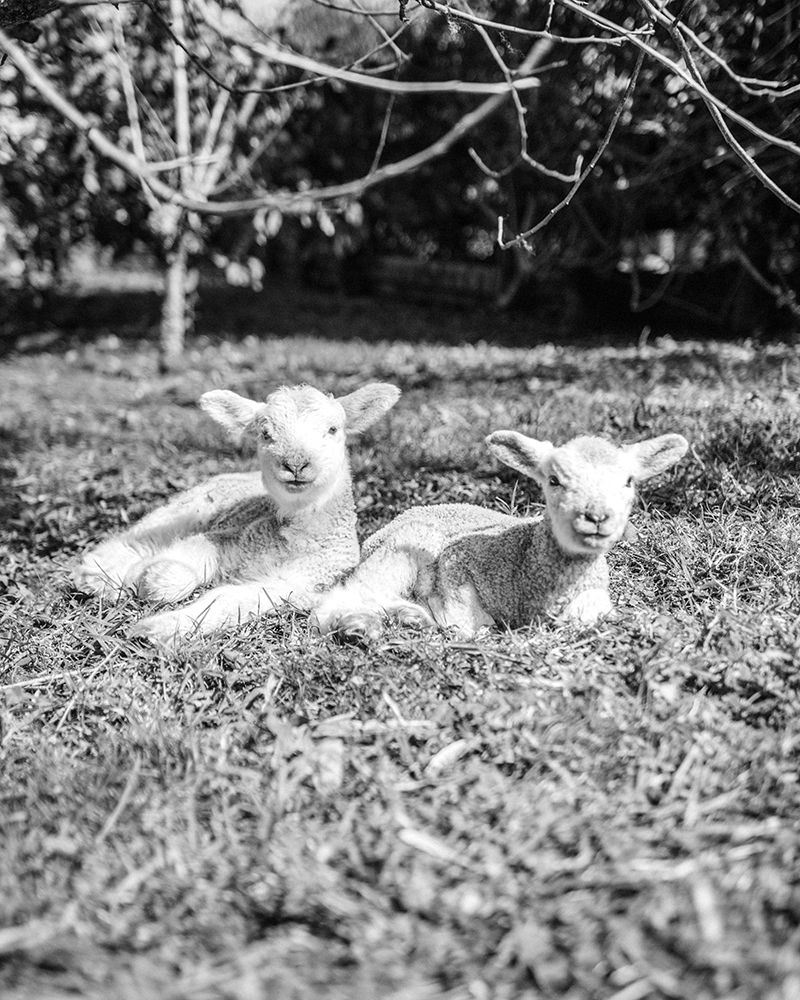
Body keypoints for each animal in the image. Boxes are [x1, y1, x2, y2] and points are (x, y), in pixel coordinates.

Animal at [73, 381, 400, 643]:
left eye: (332, 430)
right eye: (265, 434)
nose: (296, 464)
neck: (293, 537)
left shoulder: (299, 583)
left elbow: (225, 600)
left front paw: (157, 627)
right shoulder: (228, 537)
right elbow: (177, 568)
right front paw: (149, 576)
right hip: (185, 509)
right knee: (134, 541)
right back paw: (96, 578)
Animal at [312, 430, 688, 641]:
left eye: (628, 481)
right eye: (554, 480)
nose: (596, 517)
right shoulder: (457, 565)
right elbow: (467, 619)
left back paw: (409, 618)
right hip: (402, 552)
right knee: (341, 598)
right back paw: (361, 628)